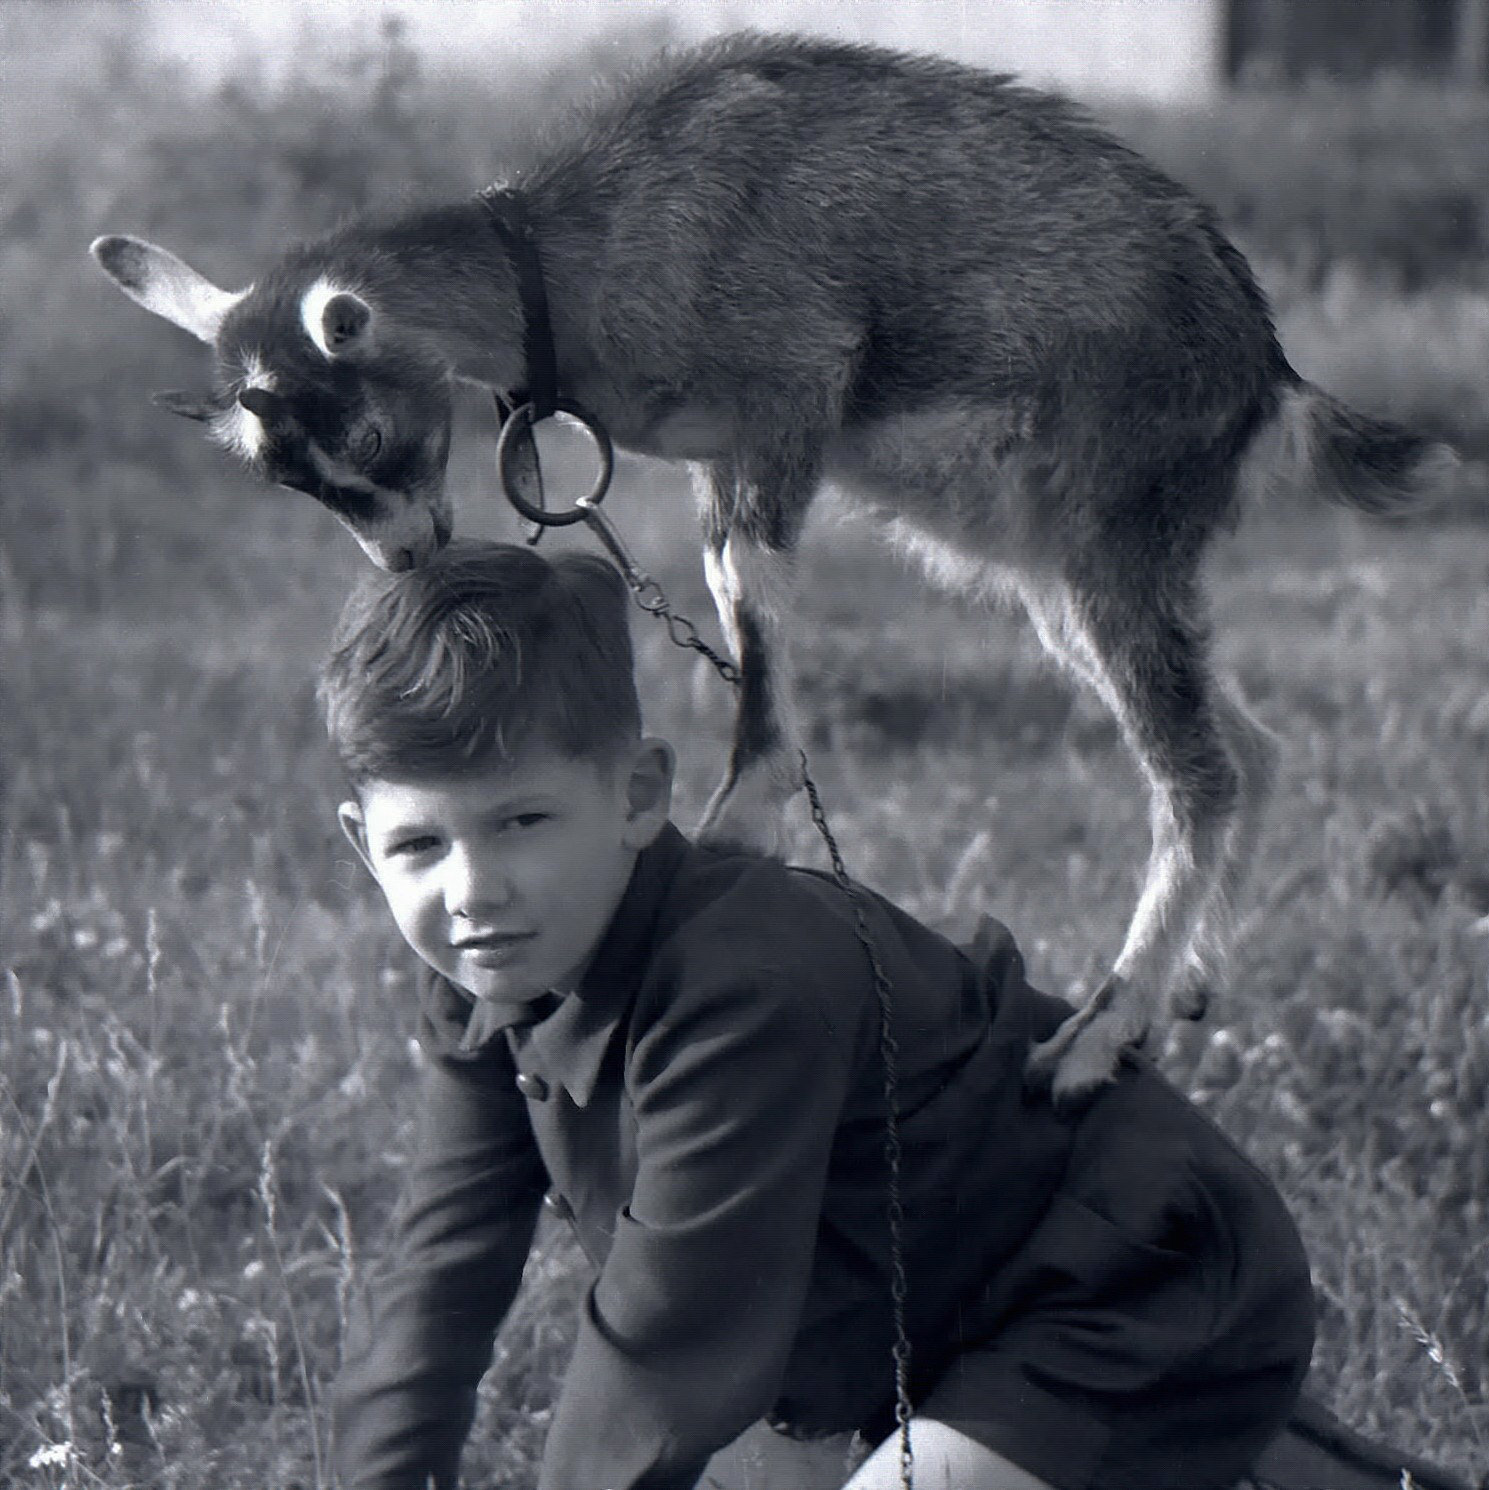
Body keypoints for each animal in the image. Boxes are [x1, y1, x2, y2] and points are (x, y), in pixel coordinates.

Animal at [87, 29, 1460, 1102]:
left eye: (370, 435)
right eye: (288, 480)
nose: (411, 553)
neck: (579, 256)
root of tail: (1266, 371)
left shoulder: (784, 405)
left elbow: (755, 633)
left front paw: (732, 825)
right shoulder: (720, 460)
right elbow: (743, 618)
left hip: (1116, 521)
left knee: (1200, 769)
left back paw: (1095, 1034)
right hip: (1054, 565)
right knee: (1249, 745)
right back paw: (1187, 991)